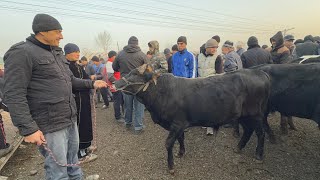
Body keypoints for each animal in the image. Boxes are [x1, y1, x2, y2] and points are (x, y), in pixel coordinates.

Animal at [114, 64, 270, 174]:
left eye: (135, 74)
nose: (115, 83)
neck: (162, 92)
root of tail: (259, 72)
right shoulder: (179, 125)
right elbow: (181, 138)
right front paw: (181, 152)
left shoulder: (177, 124)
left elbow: (169, 143)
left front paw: (171, 167)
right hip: (244, 116)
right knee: (249, 130)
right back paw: (239, 147)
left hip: (256, 114)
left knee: (260, 133)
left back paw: (259, 155)